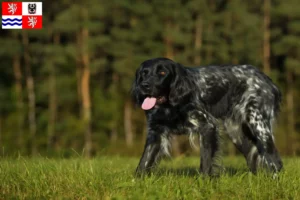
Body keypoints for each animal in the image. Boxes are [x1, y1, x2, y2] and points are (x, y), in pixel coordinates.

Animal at [131, 57, 282, 177]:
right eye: (144, 74)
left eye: (162, 72)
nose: (144, 85)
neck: (170, 106)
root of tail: (267, 80)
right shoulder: (155, 133)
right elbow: (144, 162)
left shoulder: (207, 126)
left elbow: (206, 160)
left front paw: (203, 182)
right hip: (237, 133)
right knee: (253, 157)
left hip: (259, 127)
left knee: (275, 160)